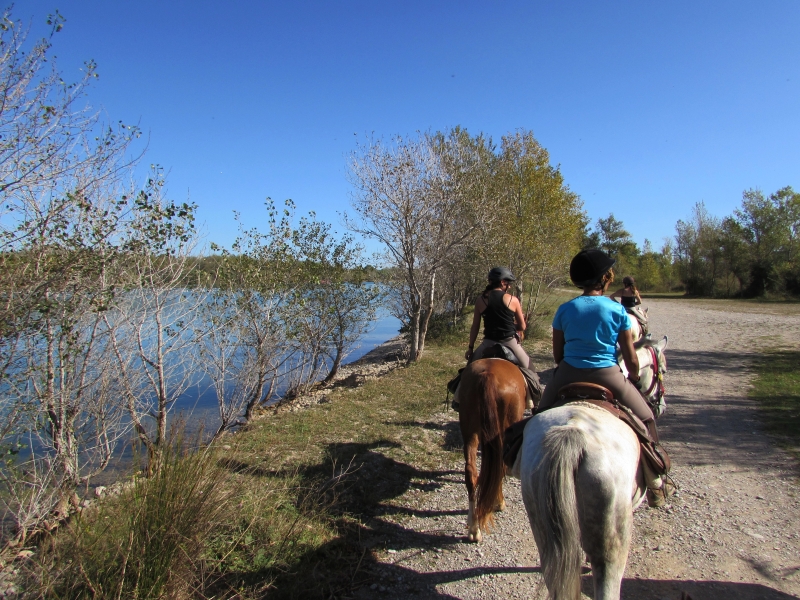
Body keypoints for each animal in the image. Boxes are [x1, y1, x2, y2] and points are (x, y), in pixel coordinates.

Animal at [456, 358, 524, 540]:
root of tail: (488, 376)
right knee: (499, 466)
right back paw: (497, 503)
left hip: (470, 429)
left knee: (471, 472)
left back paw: (474, 528)